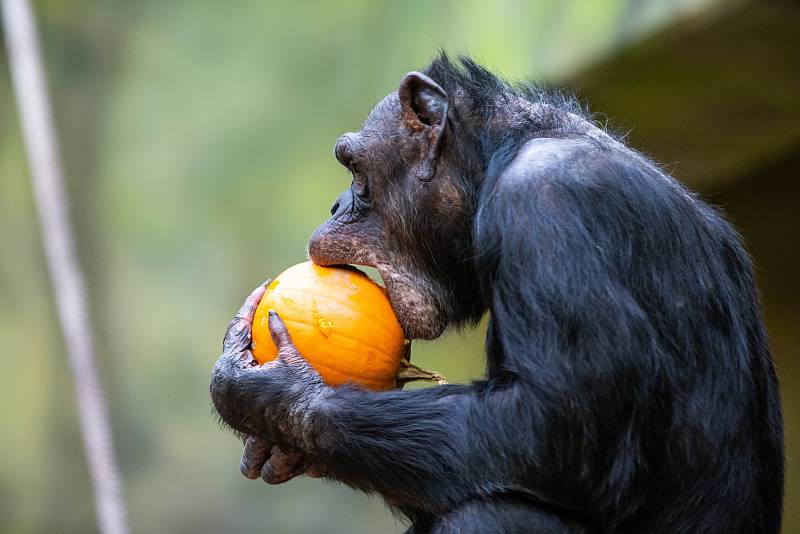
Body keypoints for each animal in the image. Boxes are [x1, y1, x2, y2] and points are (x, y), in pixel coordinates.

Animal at [209, 55, 784, 534]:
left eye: (353, 168)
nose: (335, 205)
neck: (496, 161)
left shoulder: (546, 208)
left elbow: (550, 422)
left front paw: (270, 398)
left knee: (487, 512)